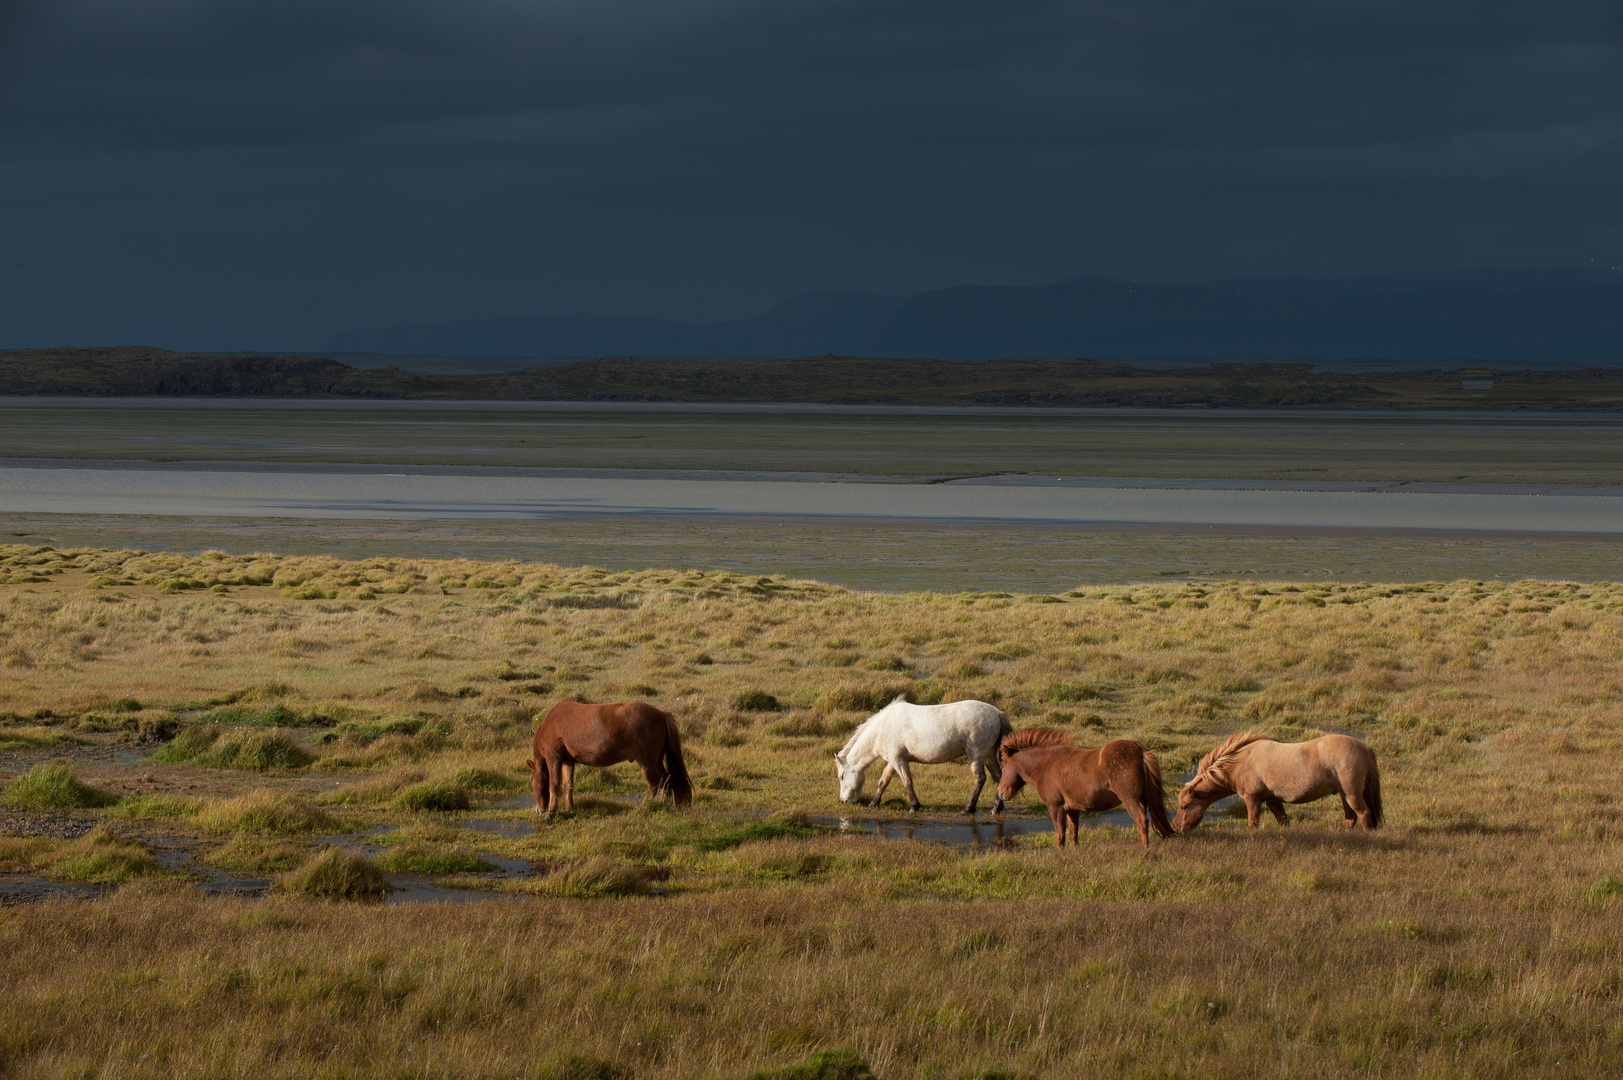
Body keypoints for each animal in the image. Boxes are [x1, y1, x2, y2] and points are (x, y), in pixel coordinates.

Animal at [525, 698, 691, 818]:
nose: (539, 809)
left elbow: (554, 785)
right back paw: (666, 805)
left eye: (533, 782)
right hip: (656, 761)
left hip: (647, 762)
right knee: (665, 780)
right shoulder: (568, 762)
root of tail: (661, 714)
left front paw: (551, 812)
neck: (550, 723)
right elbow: (568, 786)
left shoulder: (554, 759)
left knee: (655, 785)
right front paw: (569, 808)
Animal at [837, 698, 1012, 808]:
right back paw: (997, 808)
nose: (844, 800)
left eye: (841, 776)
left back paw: (969, 808)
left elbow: (907, 782)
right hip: (988, 755)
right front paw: (873, 804)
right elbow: (883, 782)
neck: (882, 728)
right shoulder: (893, 761)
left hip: (976, 755)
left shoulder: (898, 760)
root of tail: (997, 713)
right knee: (999, 777)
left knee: (979, 779)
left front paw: (915, 806)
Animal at [993, 727, 1175, 844]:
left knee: (1141, 821)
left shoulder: (1055, 807)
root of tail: (1140, 750)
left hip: (1130, 800)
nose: (1000, 792)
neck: (1047, 764)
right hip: (1142, 801)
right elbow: (1073, 835)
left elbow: (1060, 836)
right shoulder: (1072, 809)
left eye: (1002, 766)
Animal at [1175, 727, 1389, 828]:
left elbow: (1252, 824)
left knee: (1364, 814)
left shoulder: (1253, 799)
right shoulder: (1272, 801)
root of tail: (1364, 747)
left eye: (1184, 806)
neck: (1241, 761)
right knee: (1350, 818)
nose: (1176, 827)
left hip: (1352, 794)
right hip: (1345, 795)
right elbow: (1284, 822)